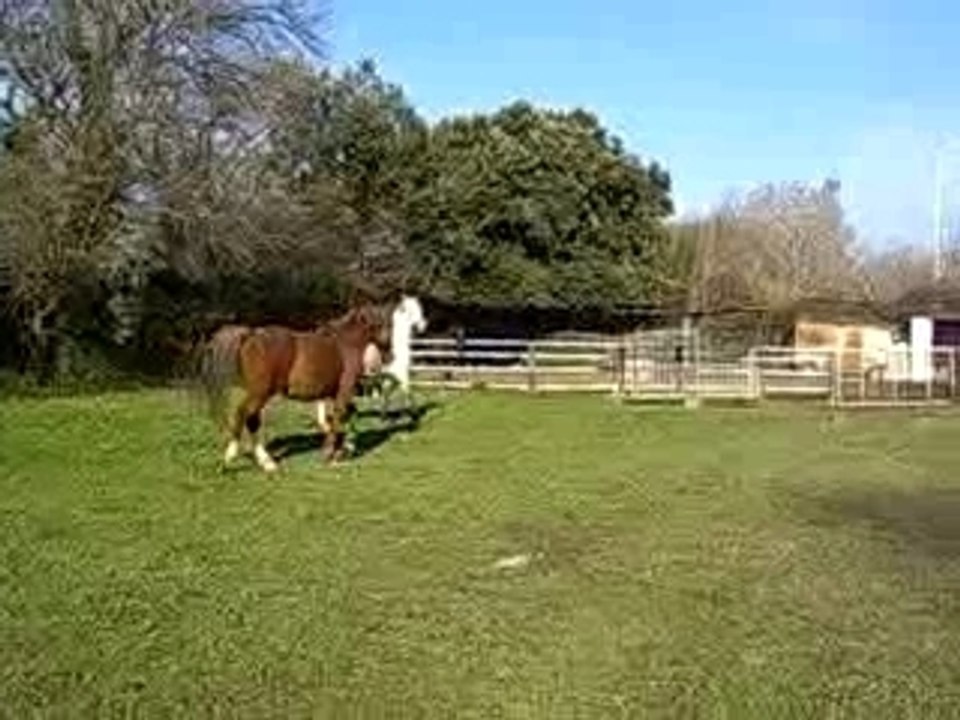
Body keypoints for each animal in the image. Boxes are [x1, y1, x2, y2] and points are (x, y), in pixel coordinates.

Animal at [198, 301, 392, 472]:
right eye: (381, 322)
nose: (388, 351)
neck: (344, 344)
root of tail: (251, 335)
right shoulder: (344, 391)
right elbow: (339, 417)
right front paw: (331, 453)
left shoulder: (334, 393)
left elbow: (351, 413)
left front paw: (348, 446)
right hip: (260, 393)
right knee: (243, 414)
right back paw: (230, 457)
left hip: (258, 394)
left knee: (252, 419)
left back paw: (267, 463)